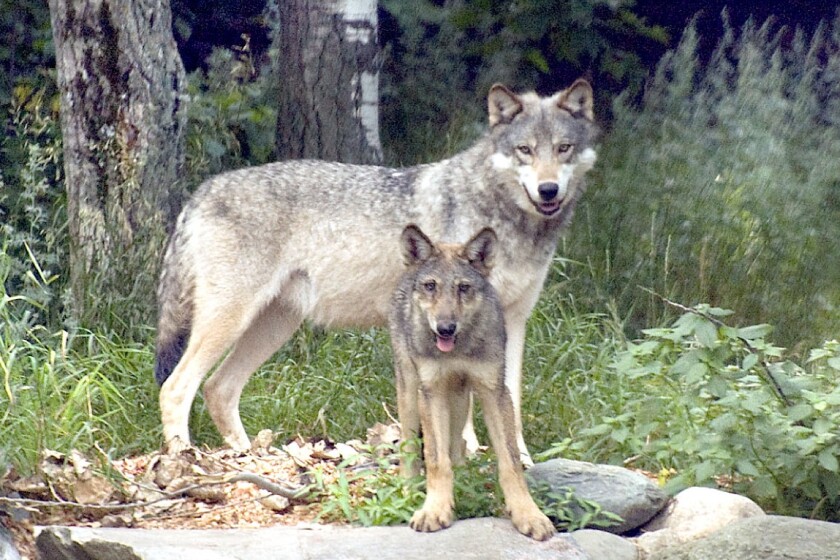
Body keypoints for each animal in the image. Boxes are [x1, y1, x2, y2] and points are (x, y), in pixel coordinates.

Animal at [155, 78, 599, 459]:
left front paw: (519, 458)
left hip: (274, 326)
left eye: (563, 148)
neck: (505, 219)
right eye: (525, 149)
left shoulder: (513, 321)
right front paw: (471, 452)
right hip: (231, 321)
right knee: (176, 387)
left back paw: (247, 455)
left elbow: (511, 401)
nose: (548, 190)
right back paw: (183, 457)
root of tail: (201, 191)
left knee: (218, 389)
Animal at [389, 224, 555, 540]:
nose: (445, 328)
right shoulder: (432, 391)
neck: (459, 348)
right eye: (431, 286)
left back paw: (464, 479)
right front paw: (434, 510)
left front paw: (528, 515)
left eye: (463, 288)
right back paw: (408, 491)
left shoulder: (494, 390)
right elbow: (436, 460)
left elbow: (511, 462)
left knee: (458, 444)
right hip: (411, 391)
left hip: (460, 397)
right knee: (411, 448)